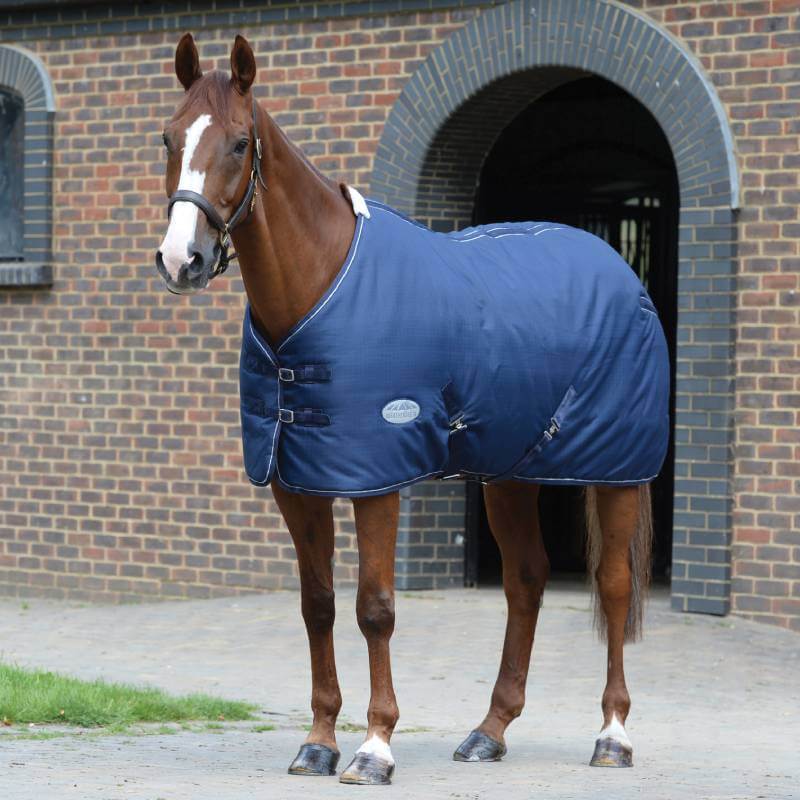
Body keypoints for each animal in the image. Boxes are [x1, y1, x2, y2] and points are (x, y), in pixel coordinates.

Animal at [156, 33, 668, 785]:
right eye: (169, 137)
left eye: (241, 143)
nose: (181, 259)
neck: (320, 287)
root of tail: (622, 272)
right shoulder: (296, 483)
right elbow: (317, 606)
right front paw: (317, 741)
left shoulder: (377, 479)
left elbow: (374, 608)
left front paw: (374, 747)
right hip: (509, 473)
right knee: (526, 580)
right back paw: (489, 730)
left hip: (616, 471)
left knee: (612, 586)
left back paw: (613, 735)